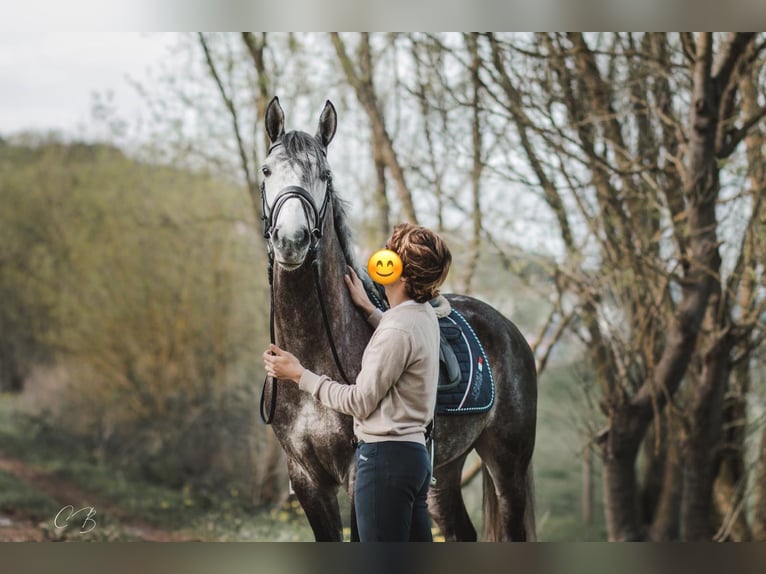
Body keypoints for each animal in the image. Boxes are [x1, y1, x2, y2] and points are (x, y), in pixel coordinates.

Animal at [260, 97, 536, 544]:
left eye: (325, 175)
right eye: (267, 171)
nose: (291, 240)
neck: (316, 350)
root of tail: (510, 331)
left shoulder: (359, 475)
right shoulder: (306, 480)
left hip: (507, 464)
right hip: (443, 473)